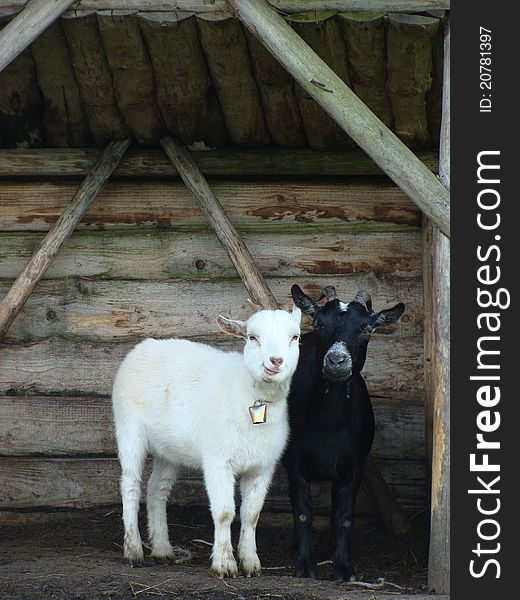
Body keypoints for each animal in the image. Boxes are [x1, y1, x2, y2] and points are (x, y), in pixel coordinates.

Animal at [111, 308, 302, 580]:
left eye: (295, 337)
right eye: (252, 337)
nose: (275, 361)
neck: (251, 397)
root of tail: (144, 346)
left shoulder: (262, 467)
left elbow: (251, 515)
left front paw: (251, 562)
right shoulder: (217, 461)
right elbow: (224, 512)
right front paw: (224, 564)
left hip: (169, 450)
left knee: (156, 489)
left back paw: (162, 549)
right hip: (128, 428)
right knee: (130, 485)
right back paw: (133, 550)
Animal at [282, 286, 404, 580]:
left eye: (366, 328)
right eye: (319, 323)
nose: (336, 361)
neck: (330, 425)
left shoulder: (354, 466)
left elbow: (345, 516)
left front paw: (344, 568)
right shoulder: (295, 463)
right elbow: (303, 513)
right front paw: (305, 566)